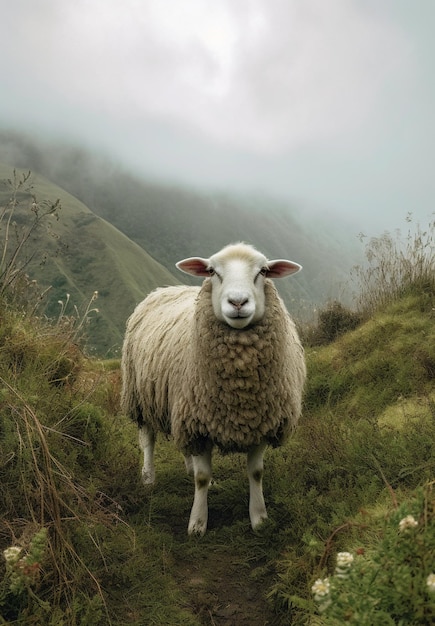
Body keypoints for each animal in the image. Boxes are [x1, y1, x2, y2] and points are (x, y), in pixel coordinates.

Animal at [121, 241, 306, 532]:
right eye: (212, 271)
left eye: (263, 271)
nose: (238, 302)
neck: (239, 388)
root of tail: (163, 289)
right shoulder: (198, 423)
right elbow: (202, 478)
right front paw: (197, 522)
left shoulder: (261, 422)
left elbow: (256, 473)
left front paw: (259, 518)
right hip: (141, 395)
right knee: (148, 439)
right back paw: (148, 477)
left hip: (178, 406)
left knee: (182, 444)